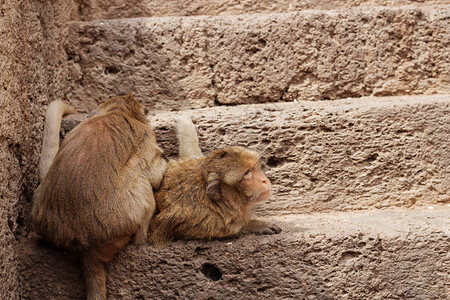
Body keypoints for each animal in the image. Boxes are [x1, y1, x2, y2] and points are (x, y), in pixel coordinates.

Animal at [31, 94, 167, 300]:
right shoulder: (146, 137)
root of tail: (85, 247)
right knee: (142, 183)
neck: (117, 111)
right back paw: (141, 239)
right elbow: (154, 174)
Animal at [149, 116, 280, 247]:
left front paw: (184, 123)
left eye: (254, 168)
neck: (220, 203)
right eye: (247, 173)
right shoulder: (207, 221)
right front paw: (254, 225)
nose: (264, 180)